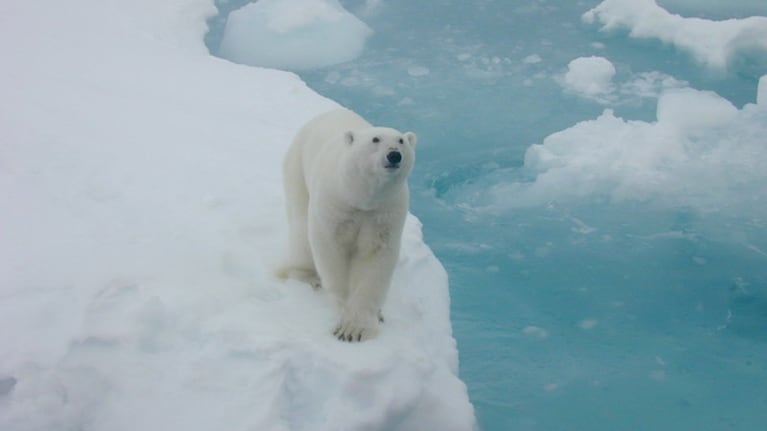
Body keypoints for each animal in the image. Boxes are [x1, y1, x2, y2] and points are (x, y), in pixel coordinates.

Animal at [280, 109, 416, 342]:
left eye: (401, 140)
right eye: (375, 139)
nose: (394, 155)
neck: (360, 197)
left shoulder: (384, 212)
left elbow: (375, 259)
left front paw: (358, 326)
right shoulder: (336, 202)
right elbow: (330, 249)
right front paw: (345, 318)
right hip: (296, 169)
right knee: (300, 228)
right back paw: (308, 276)